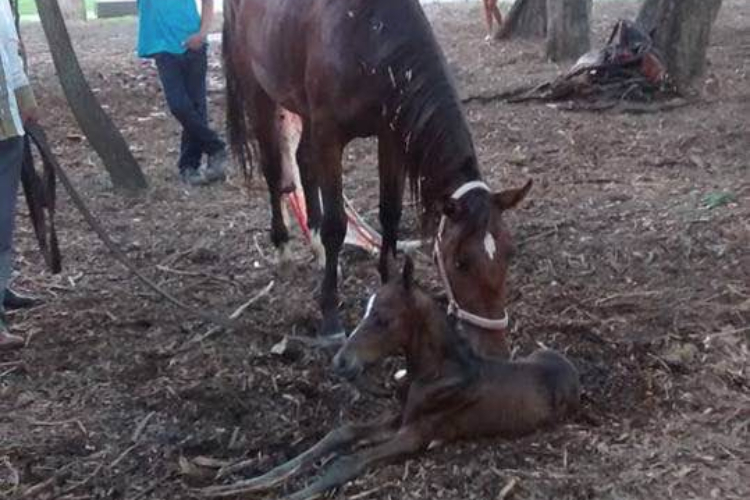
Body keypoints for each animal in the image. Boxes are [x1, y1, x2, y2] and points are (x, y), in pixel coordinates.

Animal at [200, 260, 580, 498]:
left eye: (382, 318)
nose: (340, 361)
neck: (437, 374)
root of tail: (568, 365)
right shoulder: (399, 418)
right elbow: (339, 434)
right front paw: (235, 485)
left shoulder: (416, 435)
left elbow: (346, 460)